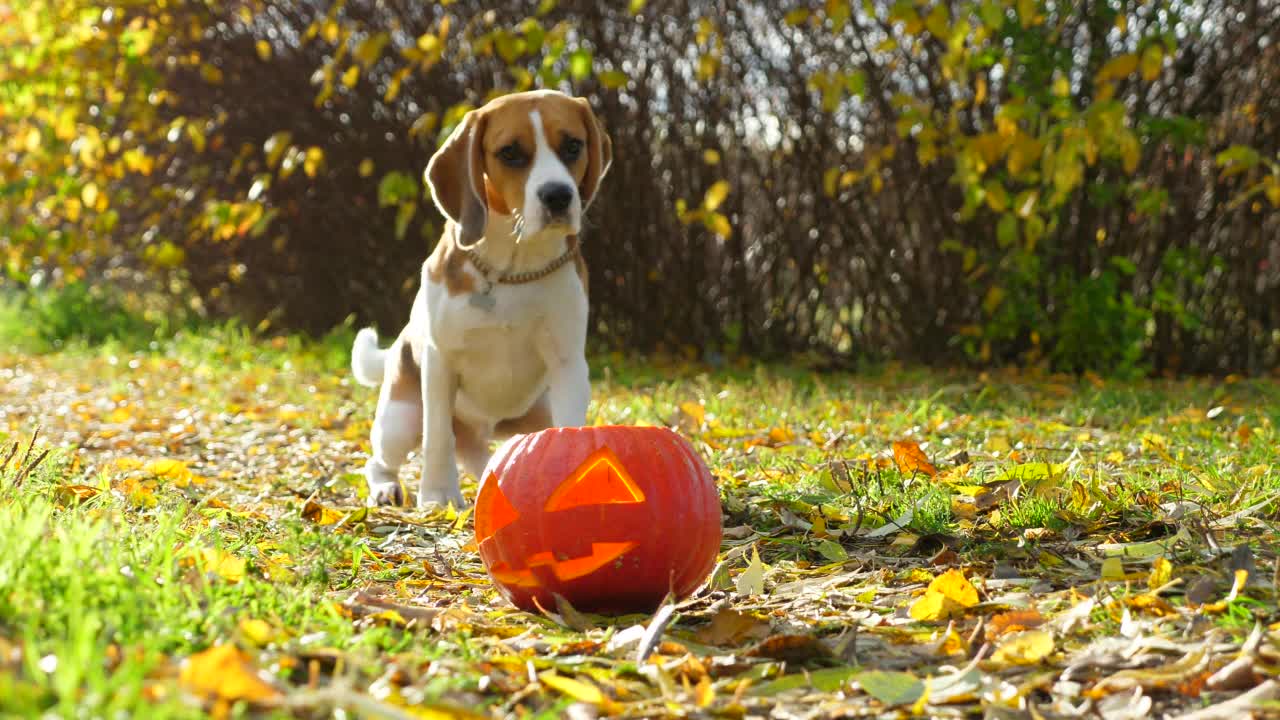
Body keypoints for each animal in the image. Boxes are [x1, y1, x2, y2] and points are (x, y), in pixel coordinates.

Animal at [350, 89, 609, 504]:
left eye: (573, 146)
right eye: (510, 152)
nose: (558, 195)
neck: (512, 268)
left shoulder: (568, 365)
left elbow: (571, 431)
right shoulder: (440, 362)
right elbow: (438, 437)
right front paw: (438, 496)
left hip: (536, 413)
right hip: (399, 420)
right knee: (379, 461)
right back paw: (387, 488)